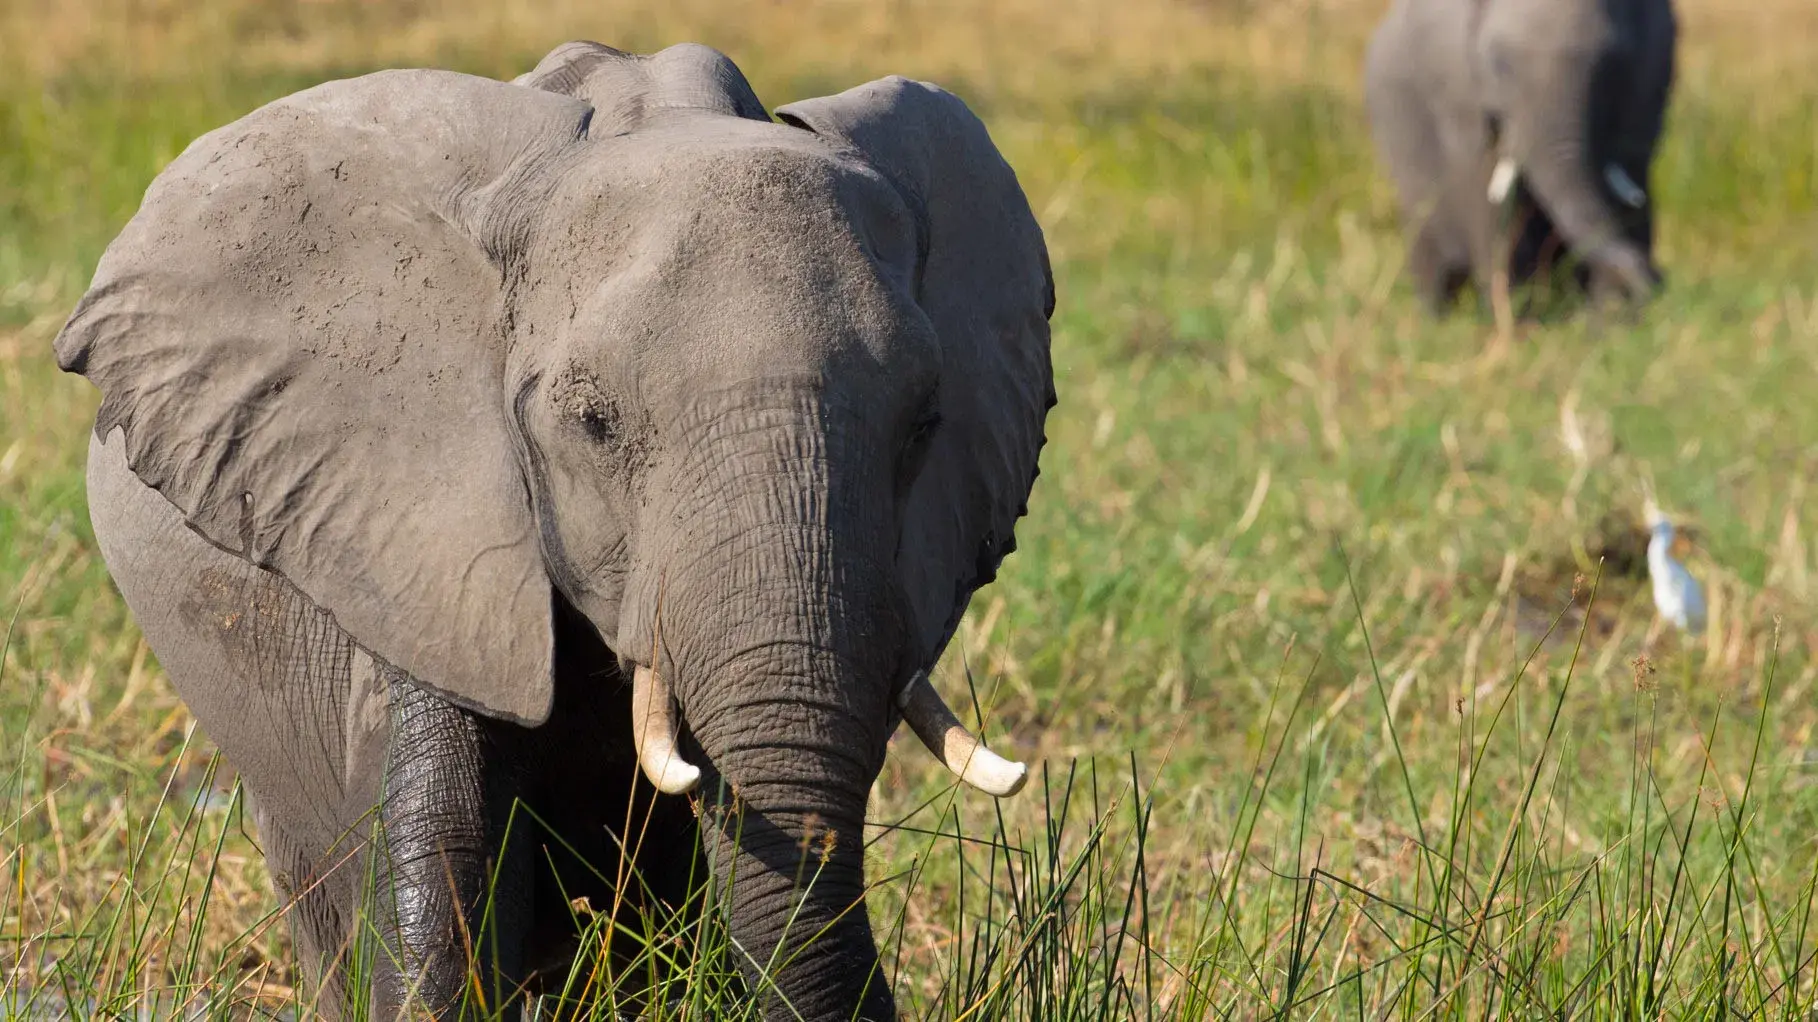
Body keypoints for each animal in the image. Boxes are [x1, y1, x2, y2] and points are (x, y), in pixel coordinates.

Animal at [1364, 0, 1677, 313]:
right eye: (1500, 65)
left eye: (1610, 62)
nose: (1658, 276)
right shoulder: (1458, 94)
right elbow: (1487, 194)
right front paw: (1514, 319)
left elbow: (1629, 173)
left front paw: (1612, 318)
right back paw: (1436, 318)